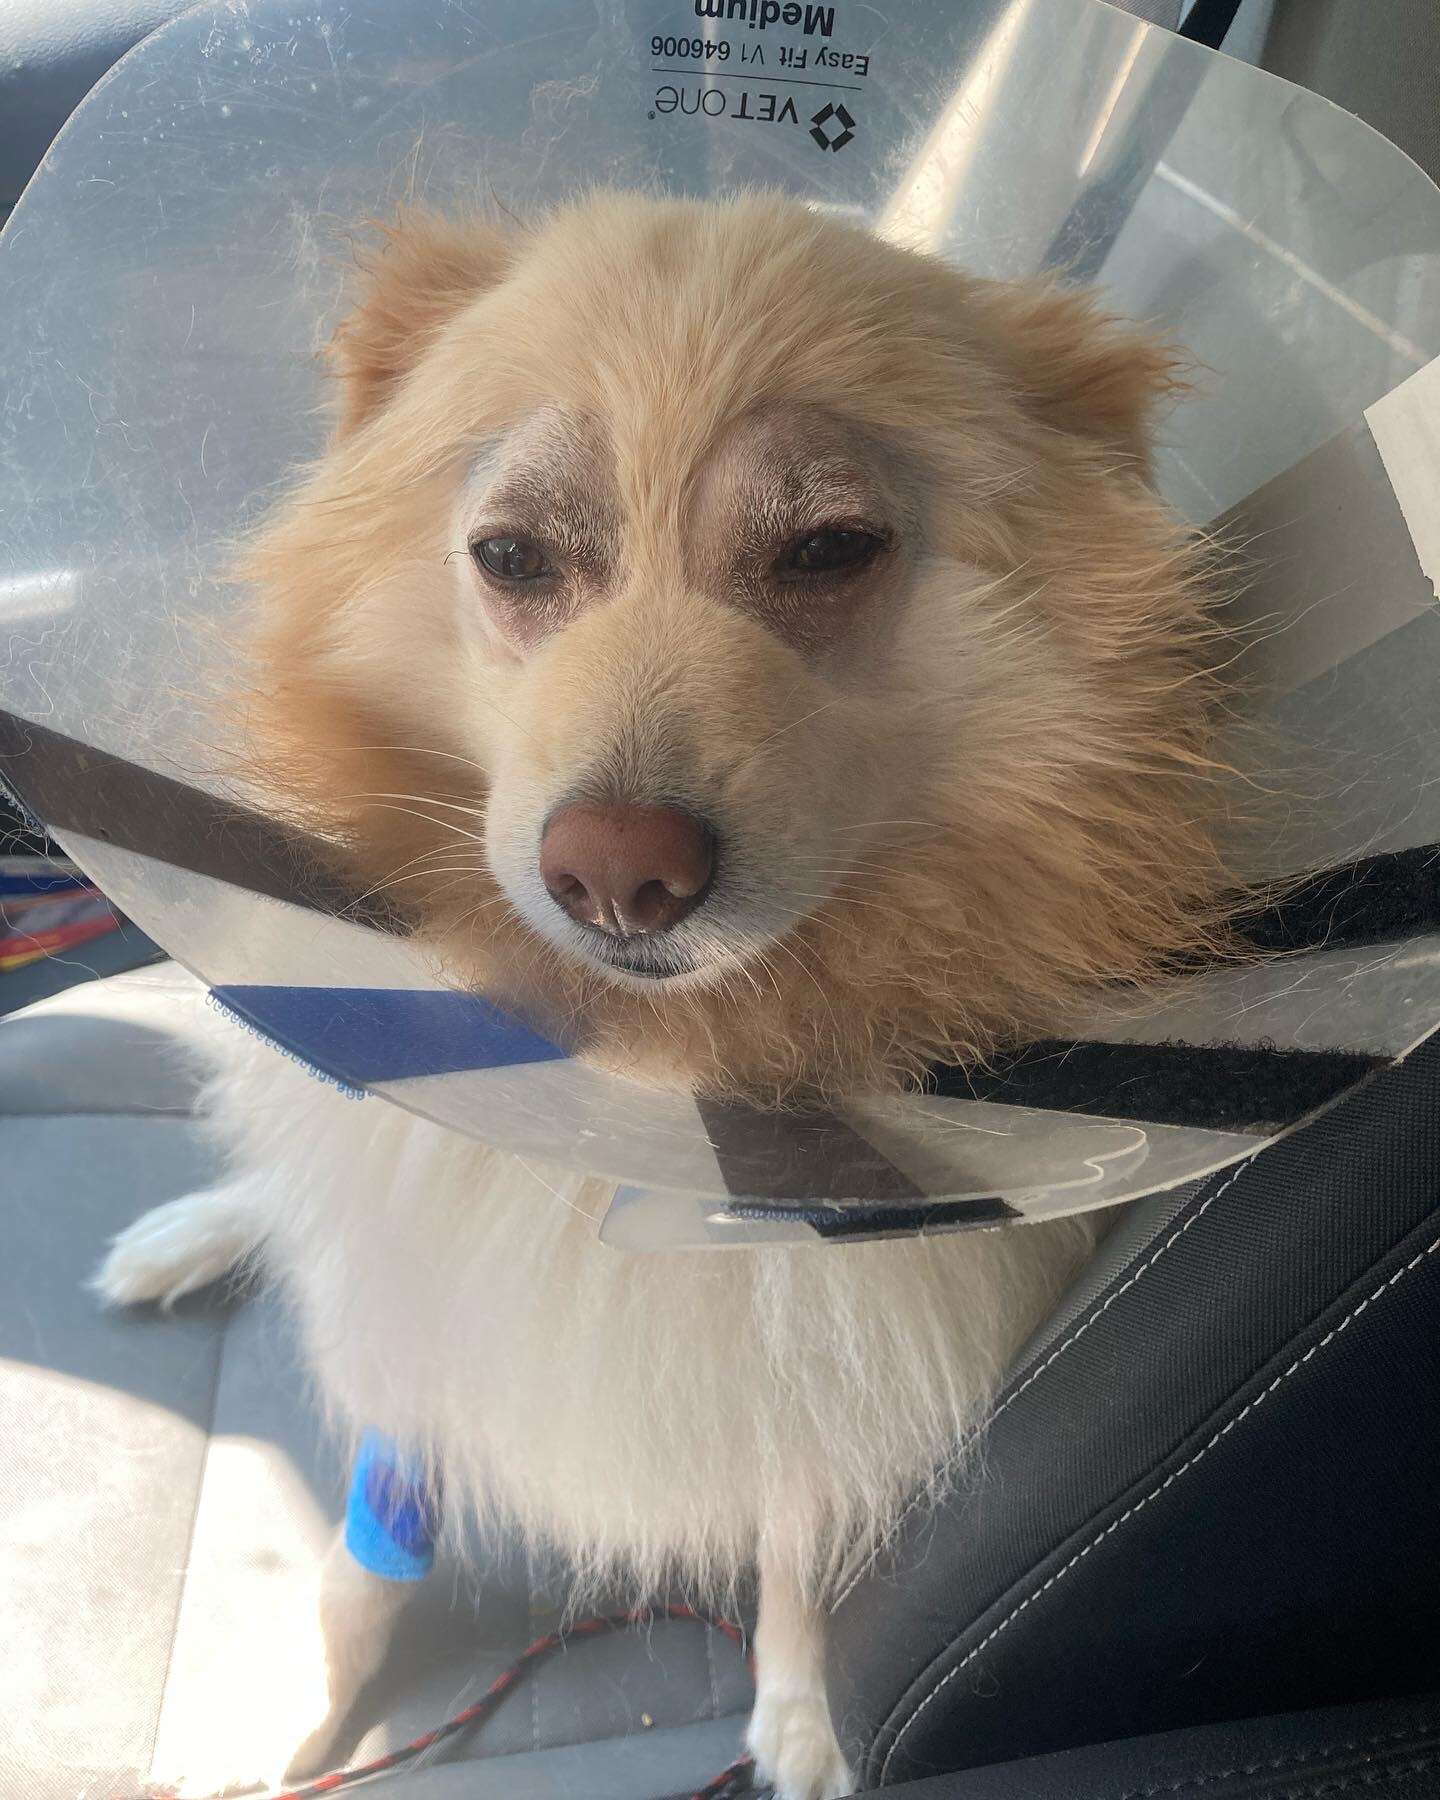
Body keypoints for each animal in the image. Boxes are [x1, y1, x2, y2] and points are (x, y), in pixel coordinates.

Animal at [95, 193, 1231, 1800]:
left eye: (830, 547)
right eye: (511, 555)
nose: (618, 873)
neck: (642, 1092)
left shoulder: (841, 1344)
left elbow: (802, 1536)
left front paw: (803, 1719)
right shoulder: (432, 1270)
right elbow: (373, 1524)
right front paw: (304, 1696)